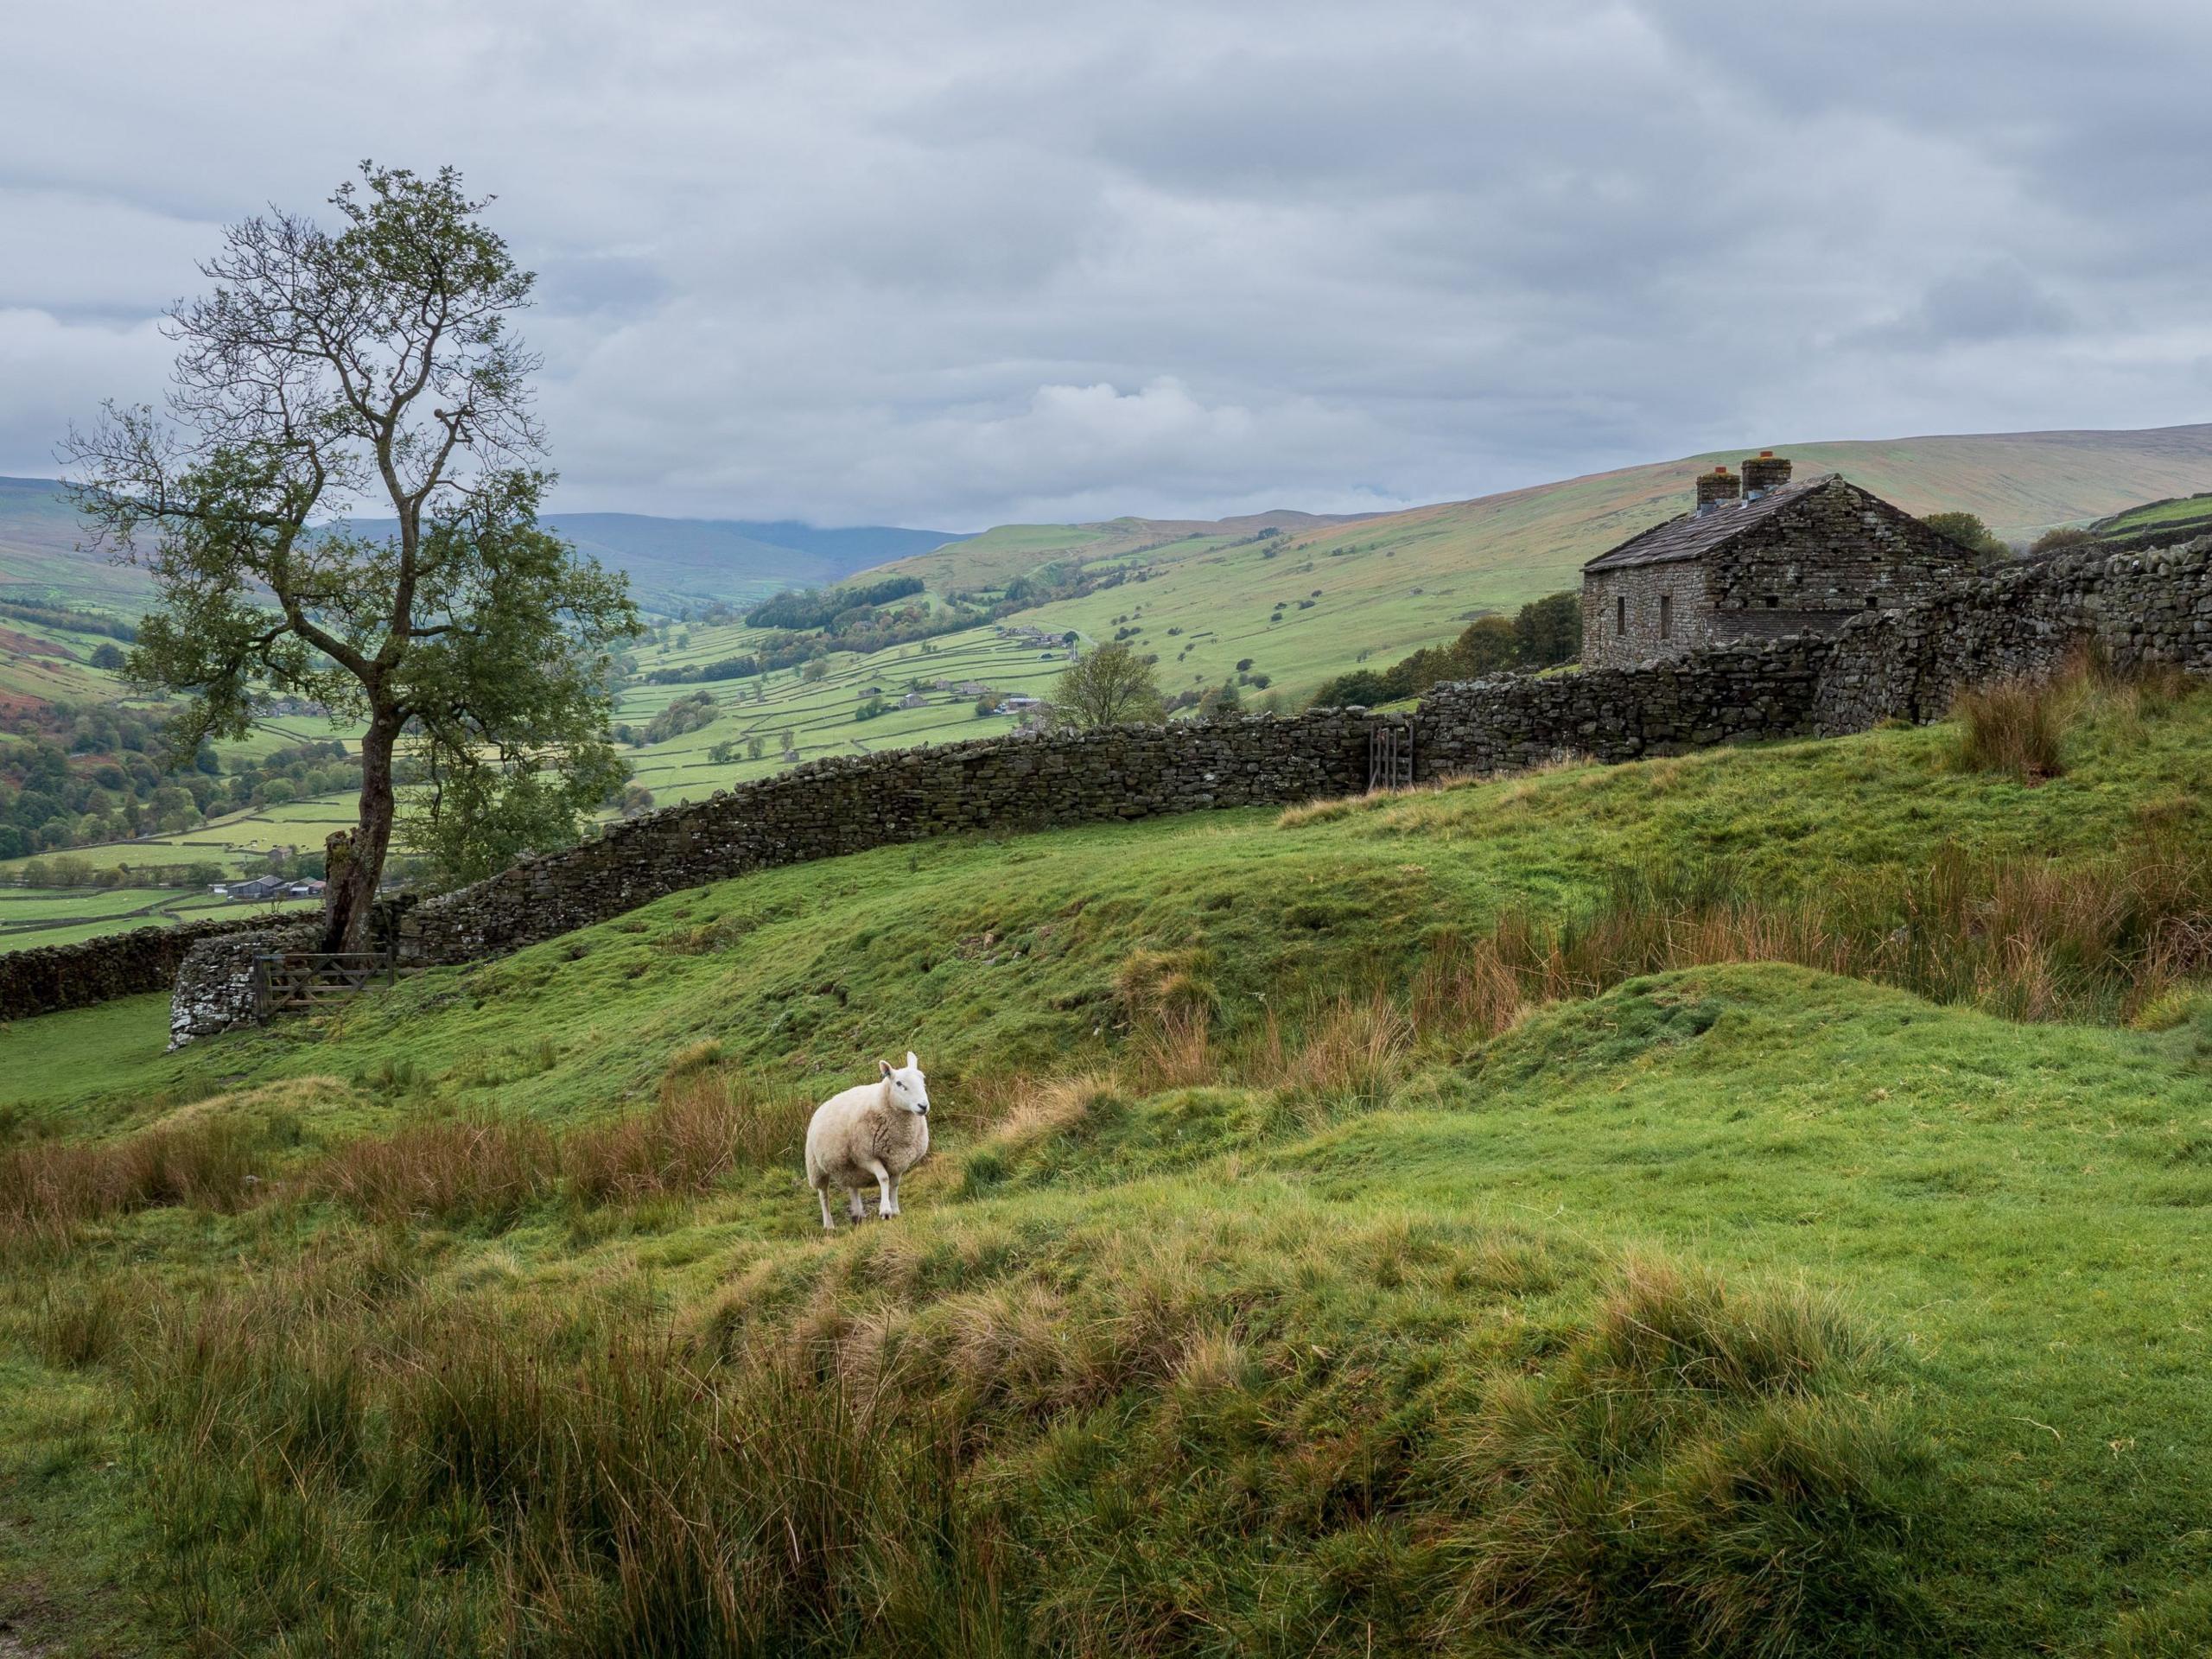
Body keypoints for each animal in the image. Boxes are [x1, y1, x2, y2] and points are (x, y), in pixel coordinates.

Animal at [800, 1052, 929, 1238]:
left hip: (849, 1167)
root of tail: (822, 1105)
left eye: (923, 1080)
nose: (923, 1106)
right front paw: (885, 1211)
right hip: (816, 1167)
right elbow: (884, 1178)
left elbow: (895, 1184)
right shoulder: (866, 1156)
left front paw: (895, 1209)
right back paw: (829, 1225)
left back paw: (857, 1215)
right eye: (899, 1084)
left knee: (852, 1187)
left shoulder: (899, 1160)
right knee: (823, 1194)